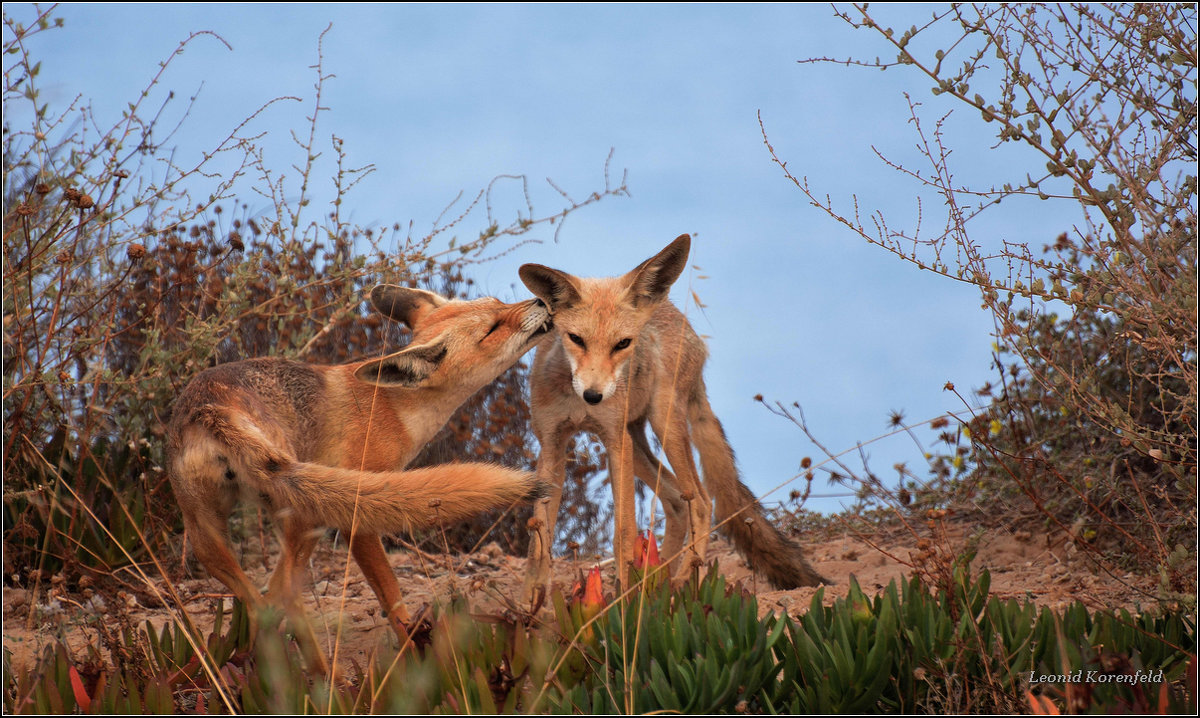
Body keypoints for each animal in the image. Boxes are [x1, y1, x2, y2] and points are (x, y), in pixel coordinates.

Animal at [166, 283, 549, 657]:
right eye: (492, 329)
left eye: (499, 302)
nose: (543, 301)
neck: (395, 409)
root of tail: (209, 409)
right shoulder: (360, 517)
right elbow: (391, 596)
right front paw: (412, 650)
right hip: (306, 519)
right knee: (282, 596)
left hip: (208, 535)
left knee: (264, 602)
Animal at [520, 236, 830, 602]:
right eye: (576, 339)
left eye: (623, 344)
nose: (594, 395)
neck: (575, 401)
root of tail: (677, 316)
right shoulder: (552, 443)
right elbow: (539, 539)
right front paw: (530, 605)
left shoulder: (615, 441)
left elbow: (624, 532)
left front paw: (622, 605)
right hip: (637, 441)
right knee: (675, 501)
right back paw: (656, 582)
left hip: (663, 426)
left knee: (701, 501)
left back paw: (683, 579)